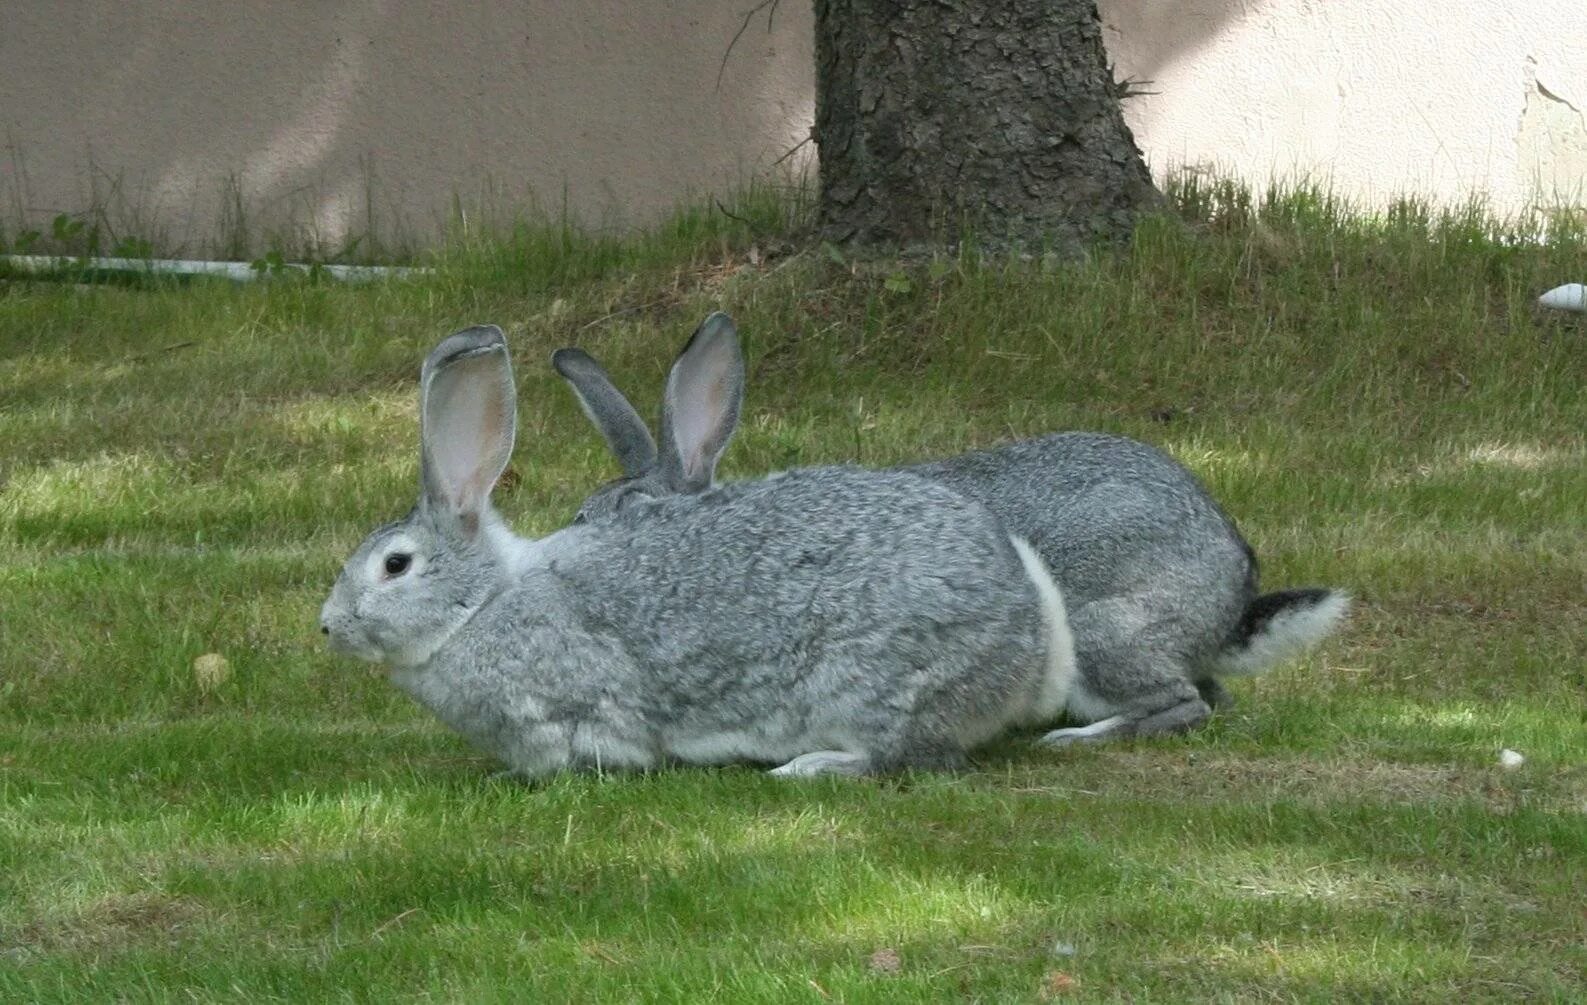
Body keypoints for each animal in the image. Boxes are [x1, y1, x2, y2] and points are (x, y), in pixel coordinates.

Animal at [317, 325, 1079, 781]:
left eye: (394, 565)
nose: (327, 626)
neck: (481, 605)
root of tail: (1030, 643)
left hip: (873, 683)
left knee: (902, 754)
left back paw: (808, 767)